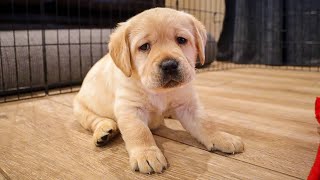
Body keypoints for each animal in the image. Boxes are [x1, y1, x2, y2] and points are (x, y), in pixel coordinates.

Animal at [74, 7, 244, 174]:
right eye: (144, 46)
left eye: (181, 40)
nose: (169, 65)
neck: (160, 92)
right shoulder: (130, 108)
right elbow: (139, 131)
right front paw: (146, 154)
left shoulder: (187, 105)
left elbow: (206, 123)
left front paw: (221, 137)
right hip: (80, 109)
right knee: (96, 120)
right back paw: (104, 132)